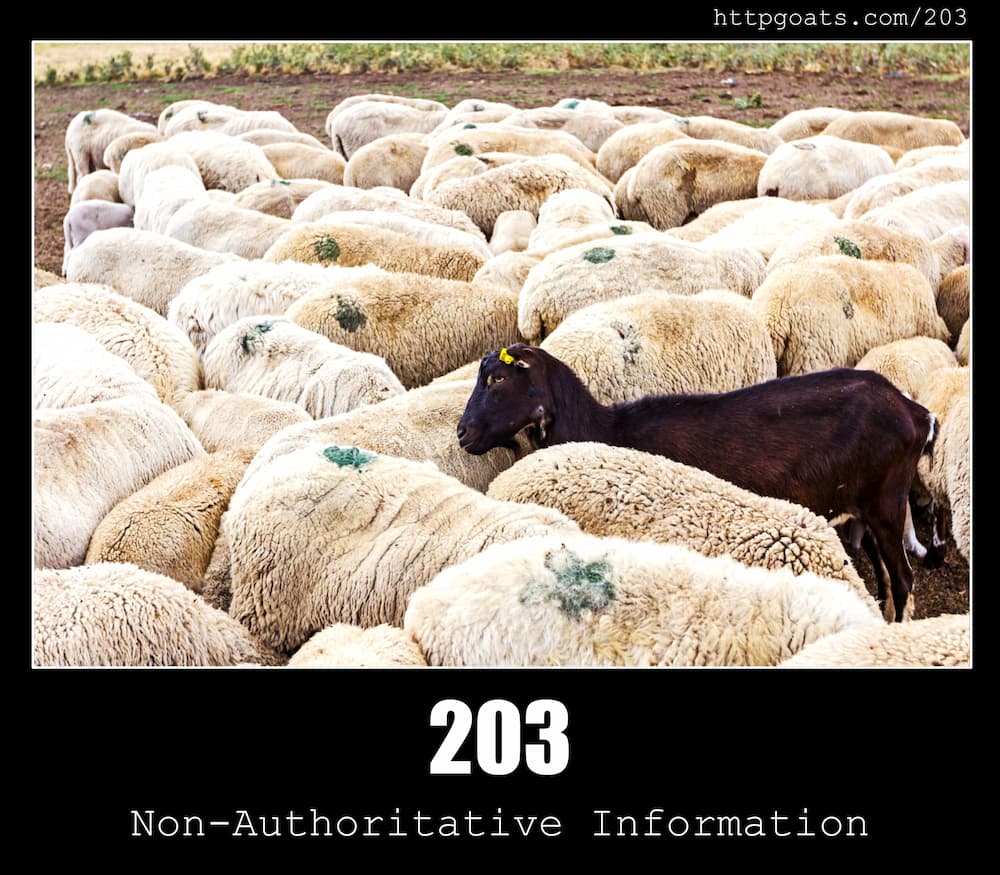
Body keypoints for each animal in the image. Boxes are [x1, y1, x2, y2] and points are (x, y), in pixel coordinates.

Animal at [457, 343, 937, 621]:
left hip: (887, 504)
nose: (462, 433)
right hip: (866, 507)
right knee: (886, 578)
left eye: (497, 378)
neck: (605, 427)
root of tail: (915, 412)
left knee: (904, 579)